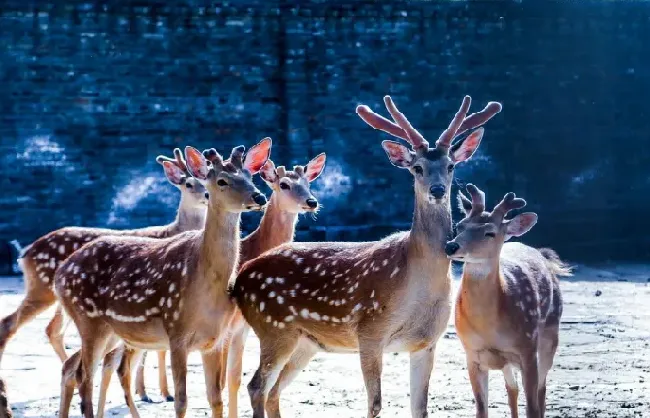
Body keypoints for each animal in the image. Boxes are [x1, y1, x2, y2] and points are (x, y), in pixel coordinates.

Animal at [0, 148, 208, 372]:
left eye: (206, 179)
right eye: (189, 184)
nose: (207, 195)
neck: (173, 230)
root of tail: (26, 253)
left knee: (52, 330)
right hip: (41, 286)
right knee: (11, 323)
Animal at [52, 140, 270, 418]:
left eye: (250, 176)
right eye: (222, 180)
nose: (259, 197)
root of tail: (59, 275)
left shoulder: (215, 339)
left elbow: (215, 399)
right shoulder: (176, 331)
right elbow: (181, 400)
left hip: (111, 331)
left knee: (73, 368)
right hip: (87, 319)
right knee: (85, 379)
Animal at [95, 152, 330, 418]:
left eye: (308, 183)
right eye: (284, 184)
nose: (311, 202)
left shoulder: (239, 328)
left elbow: (234, 379)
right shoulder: (228, 328)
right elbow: (226, 381)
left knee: (114, 362)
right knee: (113, 362)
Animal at [233, 95, 502, 418]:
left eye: (450, 166)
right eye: (417, 167)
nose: (437, 189)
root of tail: (239, 279)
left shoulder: (427, 342)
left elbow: (420, 409)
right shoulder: (369, 331)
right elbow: (374, 405)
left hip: (305, 342)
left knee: (273, 391)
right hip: (274, 328)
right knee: (256, 387)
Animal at [442, 185, 568, 416]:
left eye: (490, 232)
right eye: (459, 226)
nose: (451, 246)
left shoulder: (527, 349)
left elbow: (532, 408)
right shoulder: (472, 353)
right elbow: (482, 409)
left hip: (550, 332)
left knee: (542, 389)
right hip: (506, 360)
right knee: (512, 389)